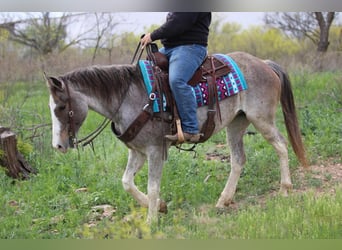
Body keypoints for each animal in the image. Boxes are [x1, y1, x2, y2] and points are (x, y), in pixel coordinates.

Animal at [44, 51, 308, 223]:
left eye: (61, 107)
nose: (58, 145)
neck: (129, 97)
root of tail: (264, 63)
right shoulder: (137, 152)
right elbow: (127, 182)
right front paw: (160, 208)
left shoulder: (154, 150)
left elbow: (152, 186)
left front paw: (151, 222)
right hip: (236, 123)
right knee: (238, 160)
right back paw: (224, 200)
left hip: (261, 119)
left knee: (281, 145)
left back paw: (285, 188)